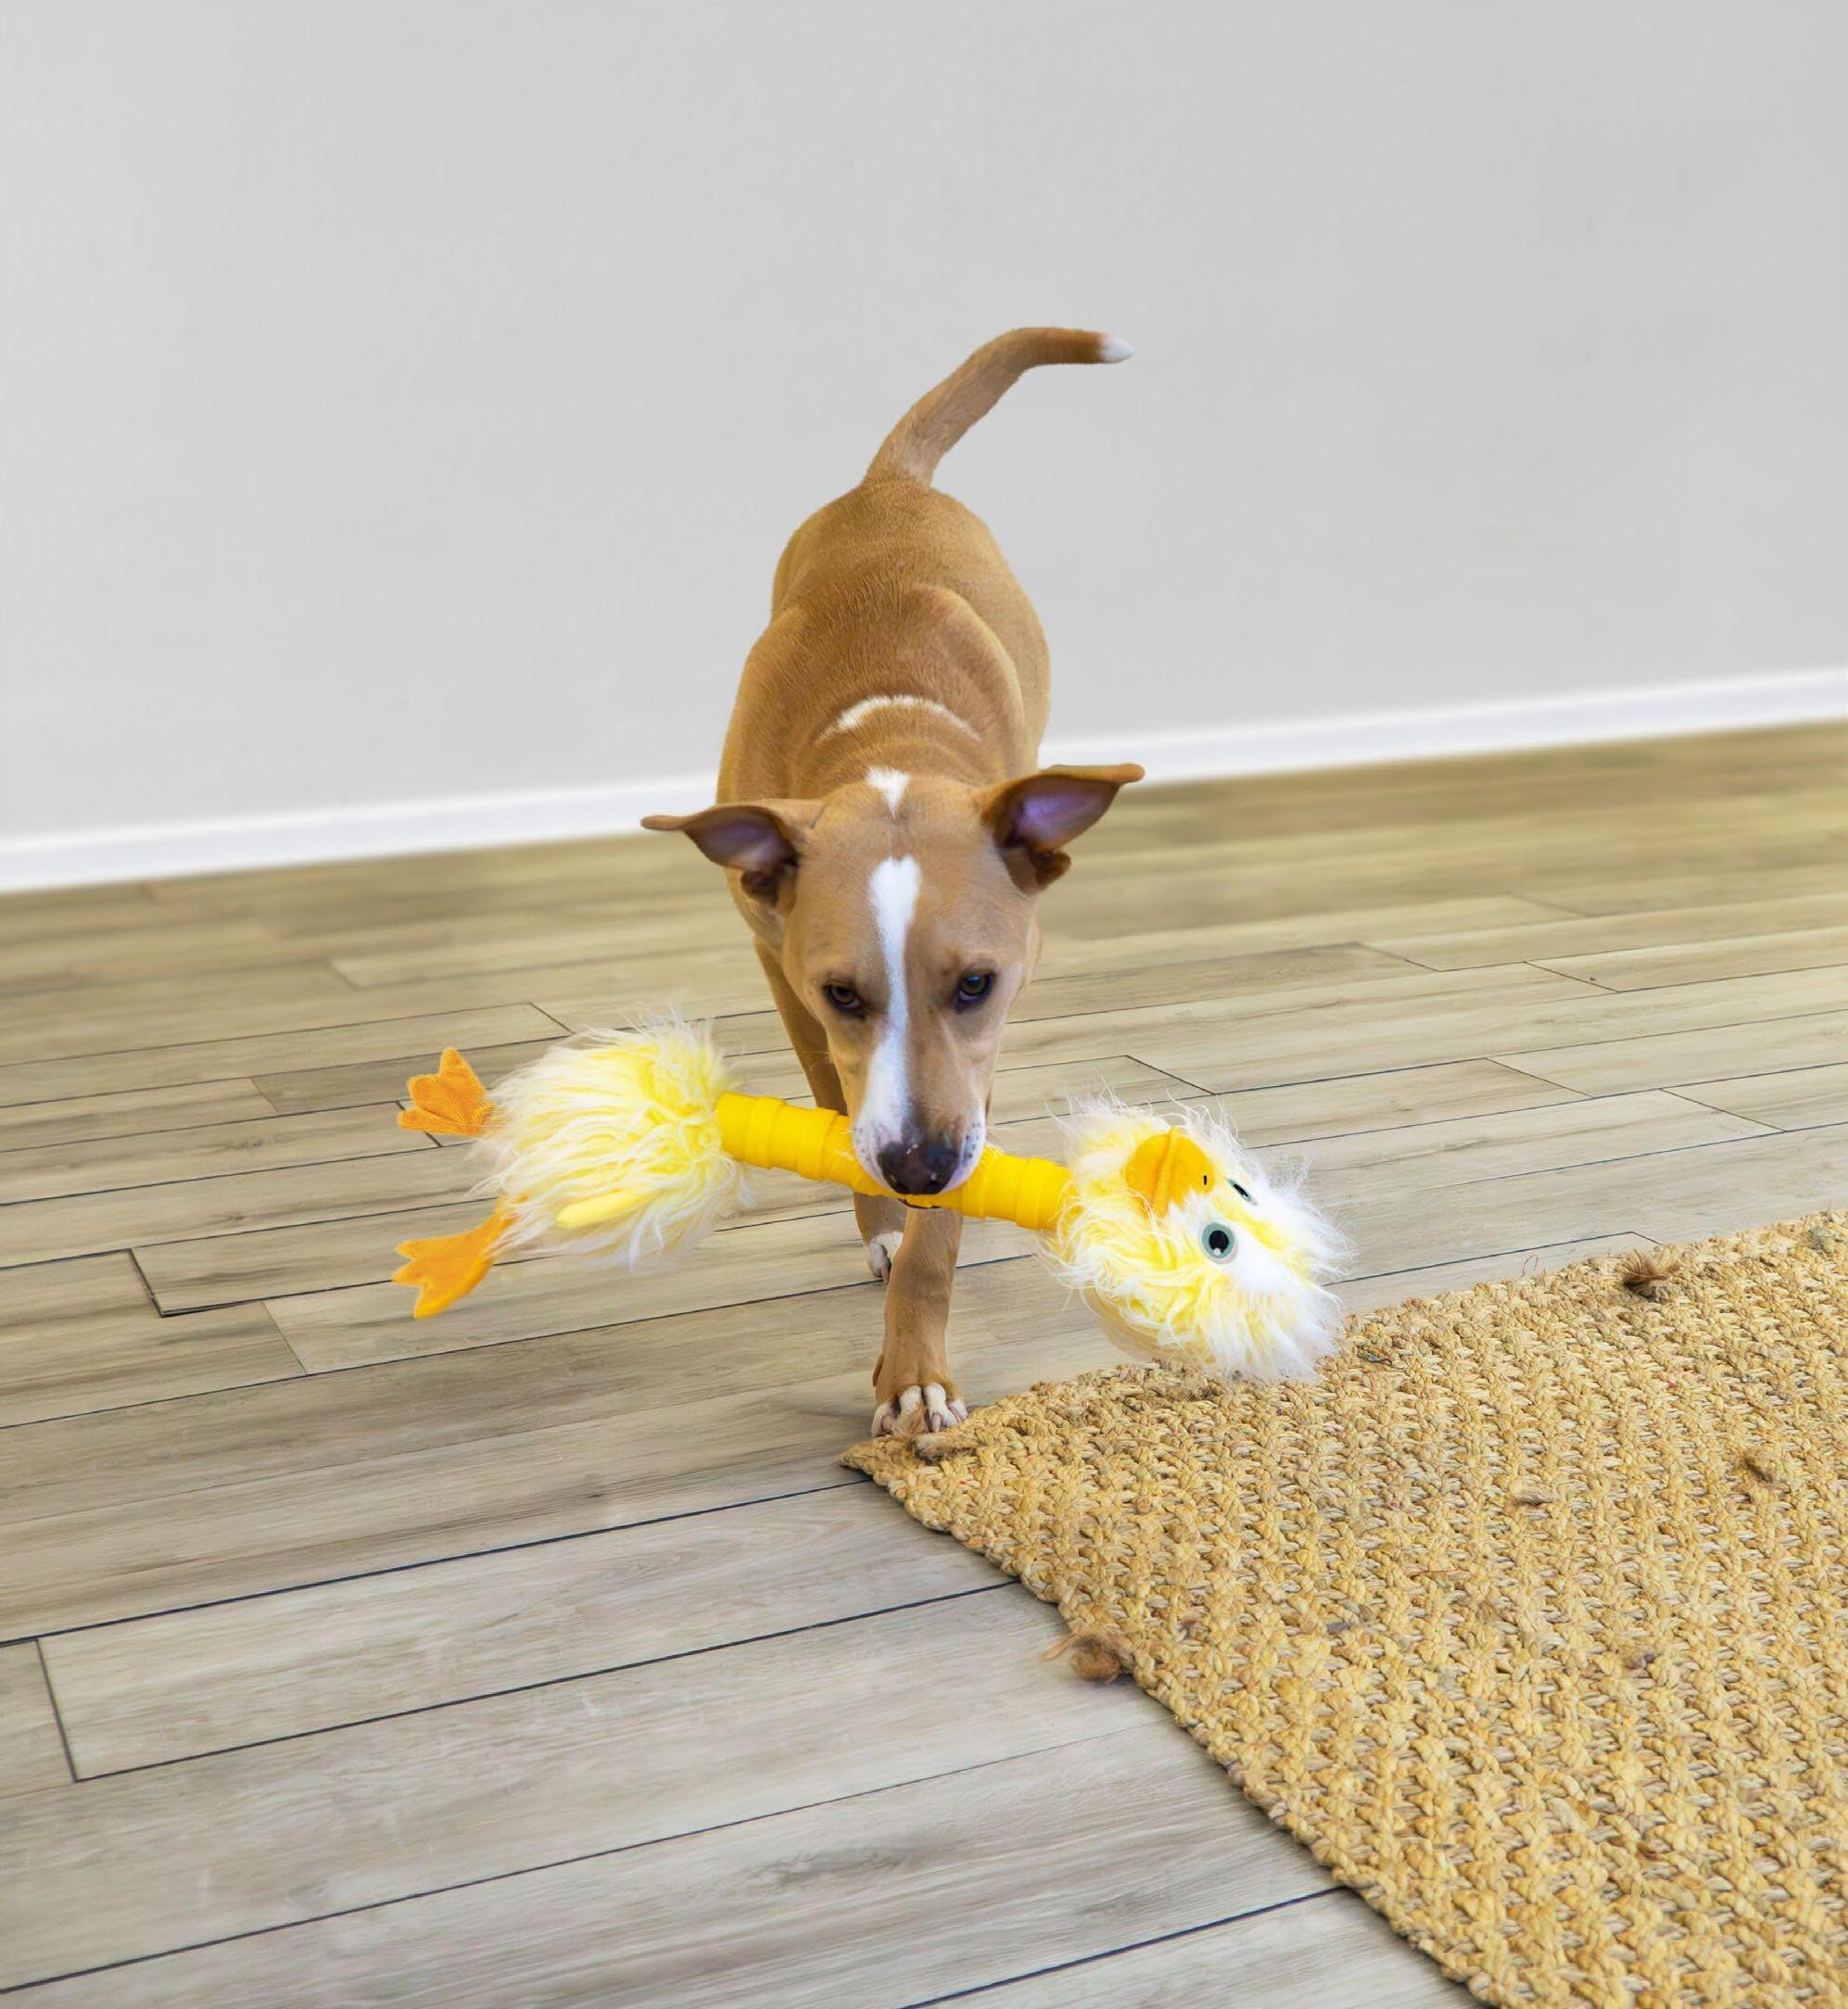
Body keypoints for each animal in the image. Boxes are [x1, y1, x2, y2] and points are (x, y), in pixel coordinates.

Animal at [645, 328, 1142, 1438]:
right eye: (844, 992)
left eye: (975, 984)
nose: (916, 1167)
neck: (886, 752)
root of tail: (892, 486)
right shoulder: (782, 969)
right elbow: (836, 1097)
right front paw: (880, 1220)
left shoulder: (978, 1056)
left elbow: (943, 1227)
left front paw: (915, 1363)